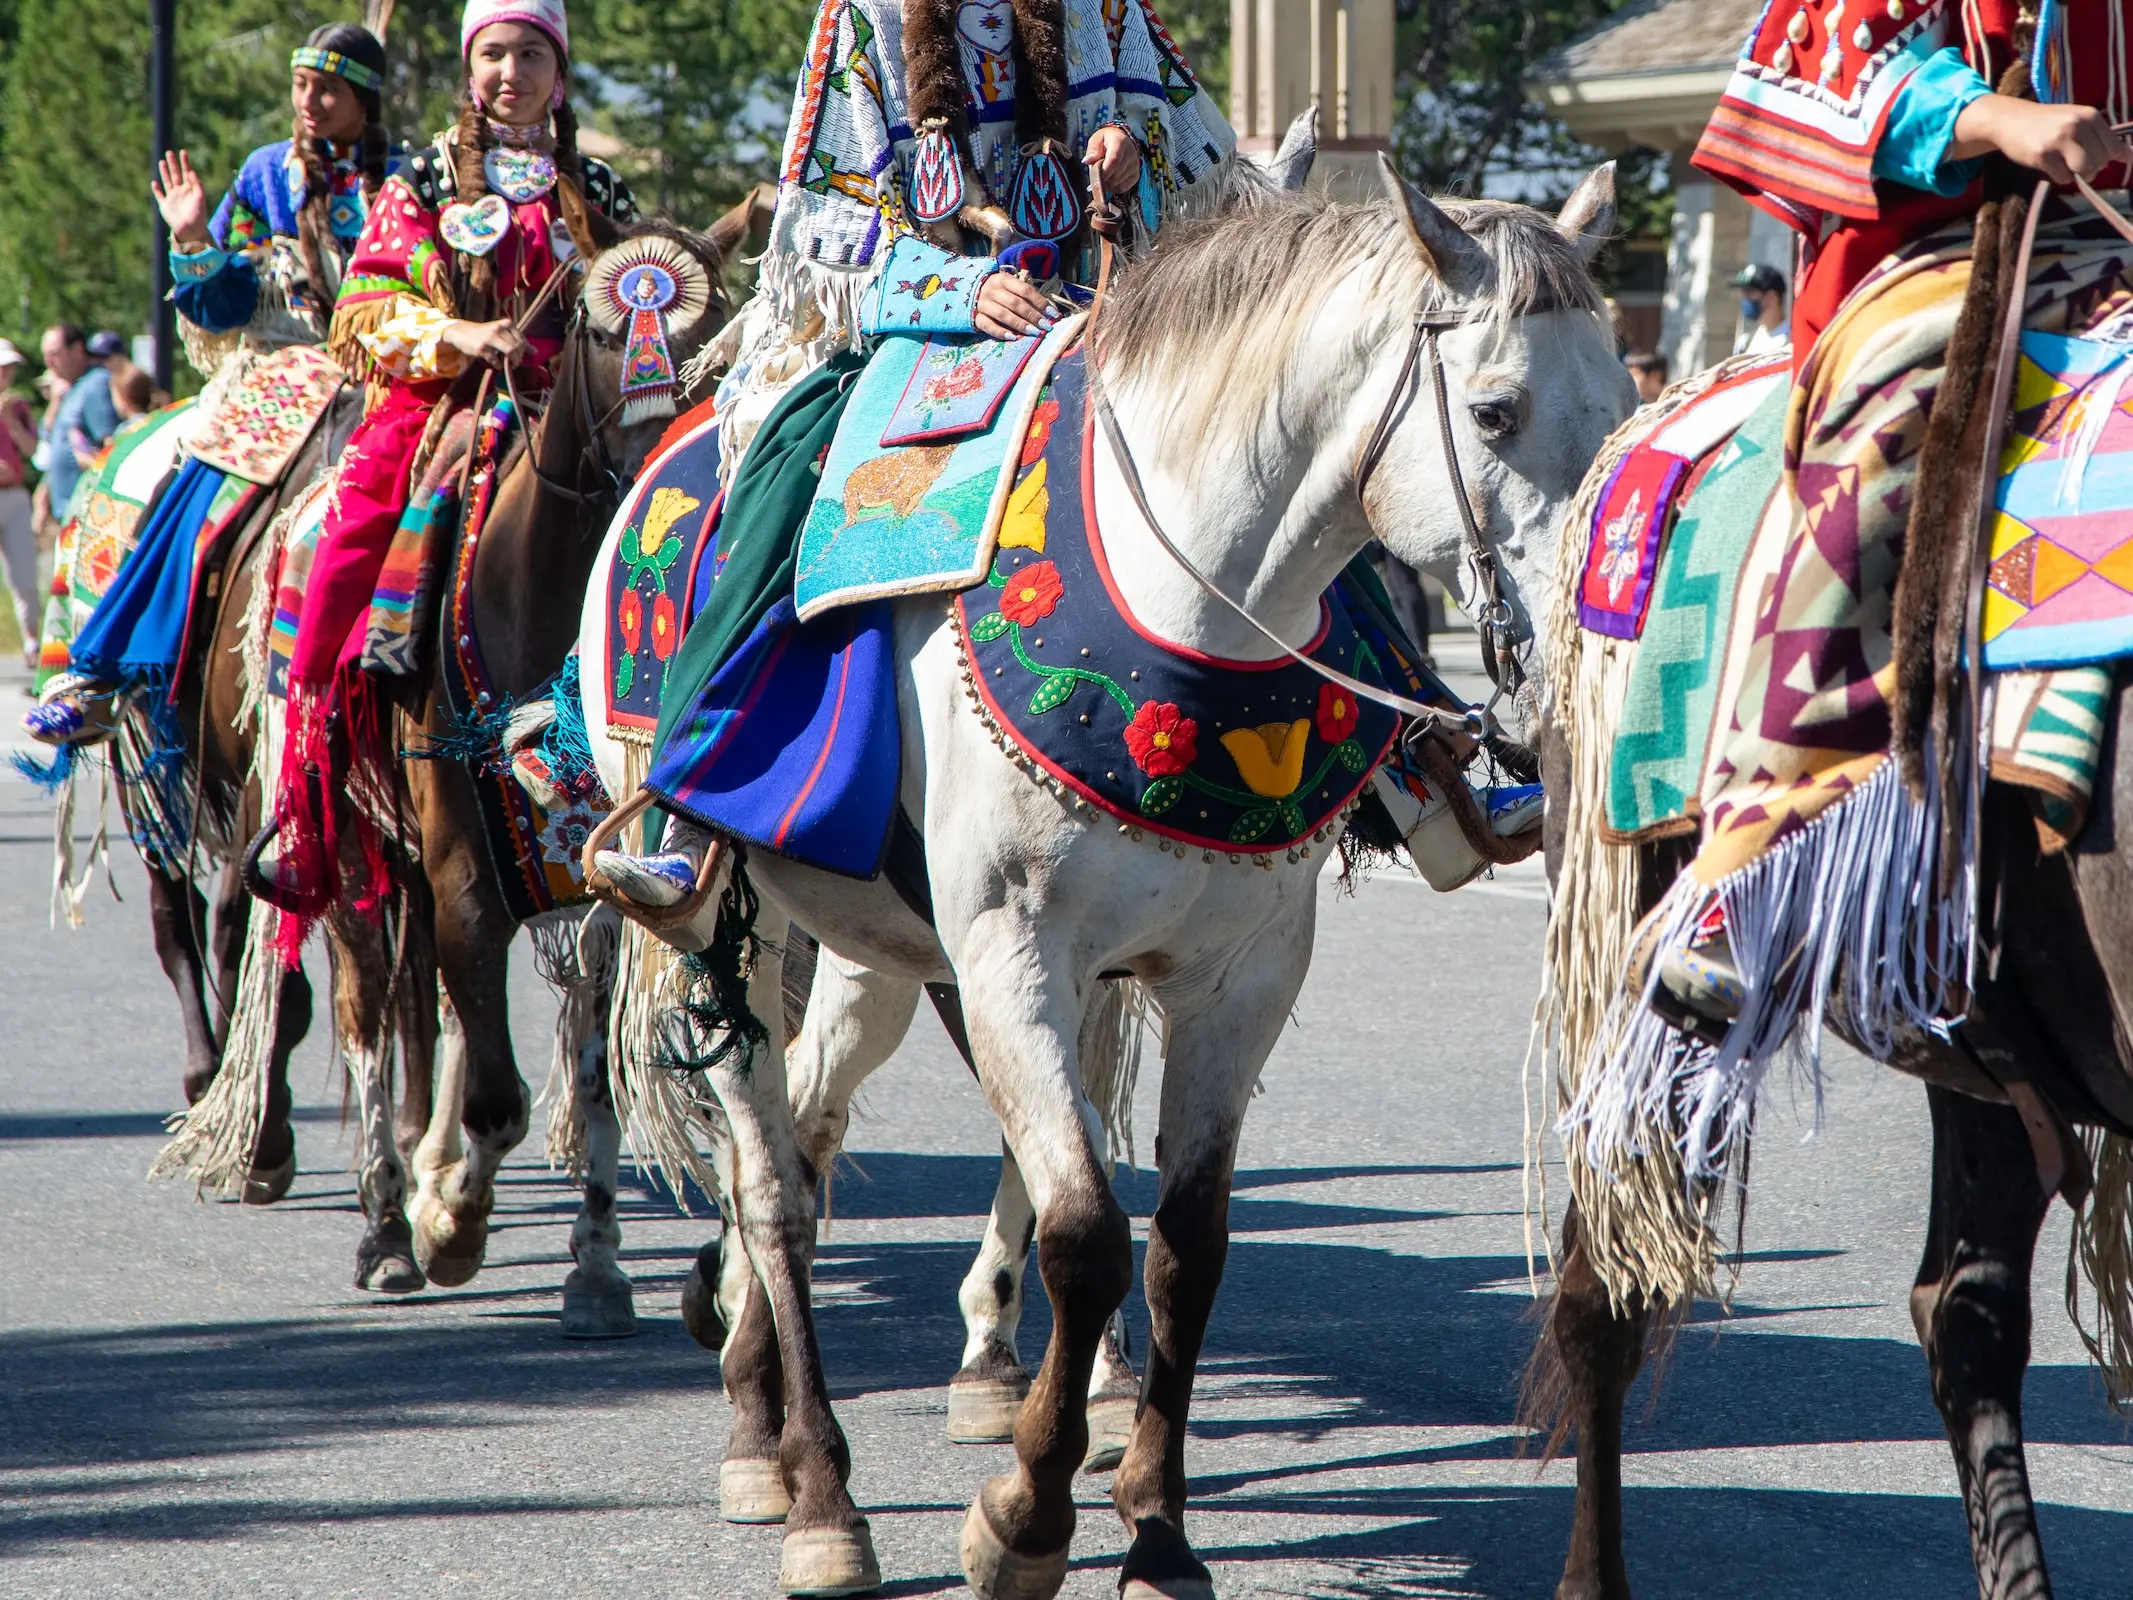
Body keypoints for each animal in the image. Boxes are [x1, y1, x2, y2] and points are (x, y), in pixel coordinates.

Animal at [575, 160, 1621, 1600]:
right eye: (1495, 410)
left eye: (1623, 407)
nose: (1577, 666)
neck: (1186, 609)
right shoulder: (1016, 956)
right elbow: (1080, 1231)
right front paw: (1024, 1519)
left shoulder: (1236, 983)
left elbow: (1185, 1247)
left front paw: (1157, 1531)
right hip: (721, 922)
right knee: (772, 1186)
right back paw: (810, 1485)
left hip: (881, 955)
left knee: (809, 1138)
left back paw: (763, 1396)